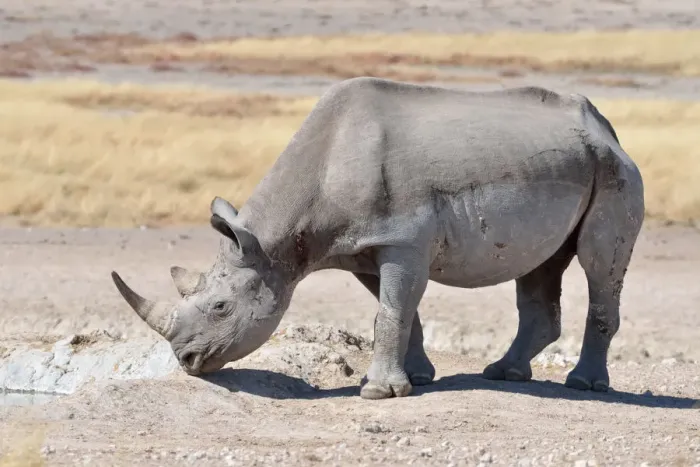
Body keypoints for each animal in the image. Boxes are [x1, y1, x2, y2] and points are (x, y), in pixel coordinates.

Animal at [111, 77, 644, 400]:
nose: (186, 360)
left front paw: (378, 393)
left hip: (613, 169)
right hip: (566, 162)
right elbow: (399, 311)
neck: (272, 246)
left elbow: (391, 311)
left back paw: (585, 385)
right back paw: (505, 373)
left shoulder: (404, 239)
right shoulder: (362, 246)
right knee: (539, 265)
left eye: (221, 308)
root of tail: (608, 128)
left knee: (599, 265)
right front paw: (416, 379)